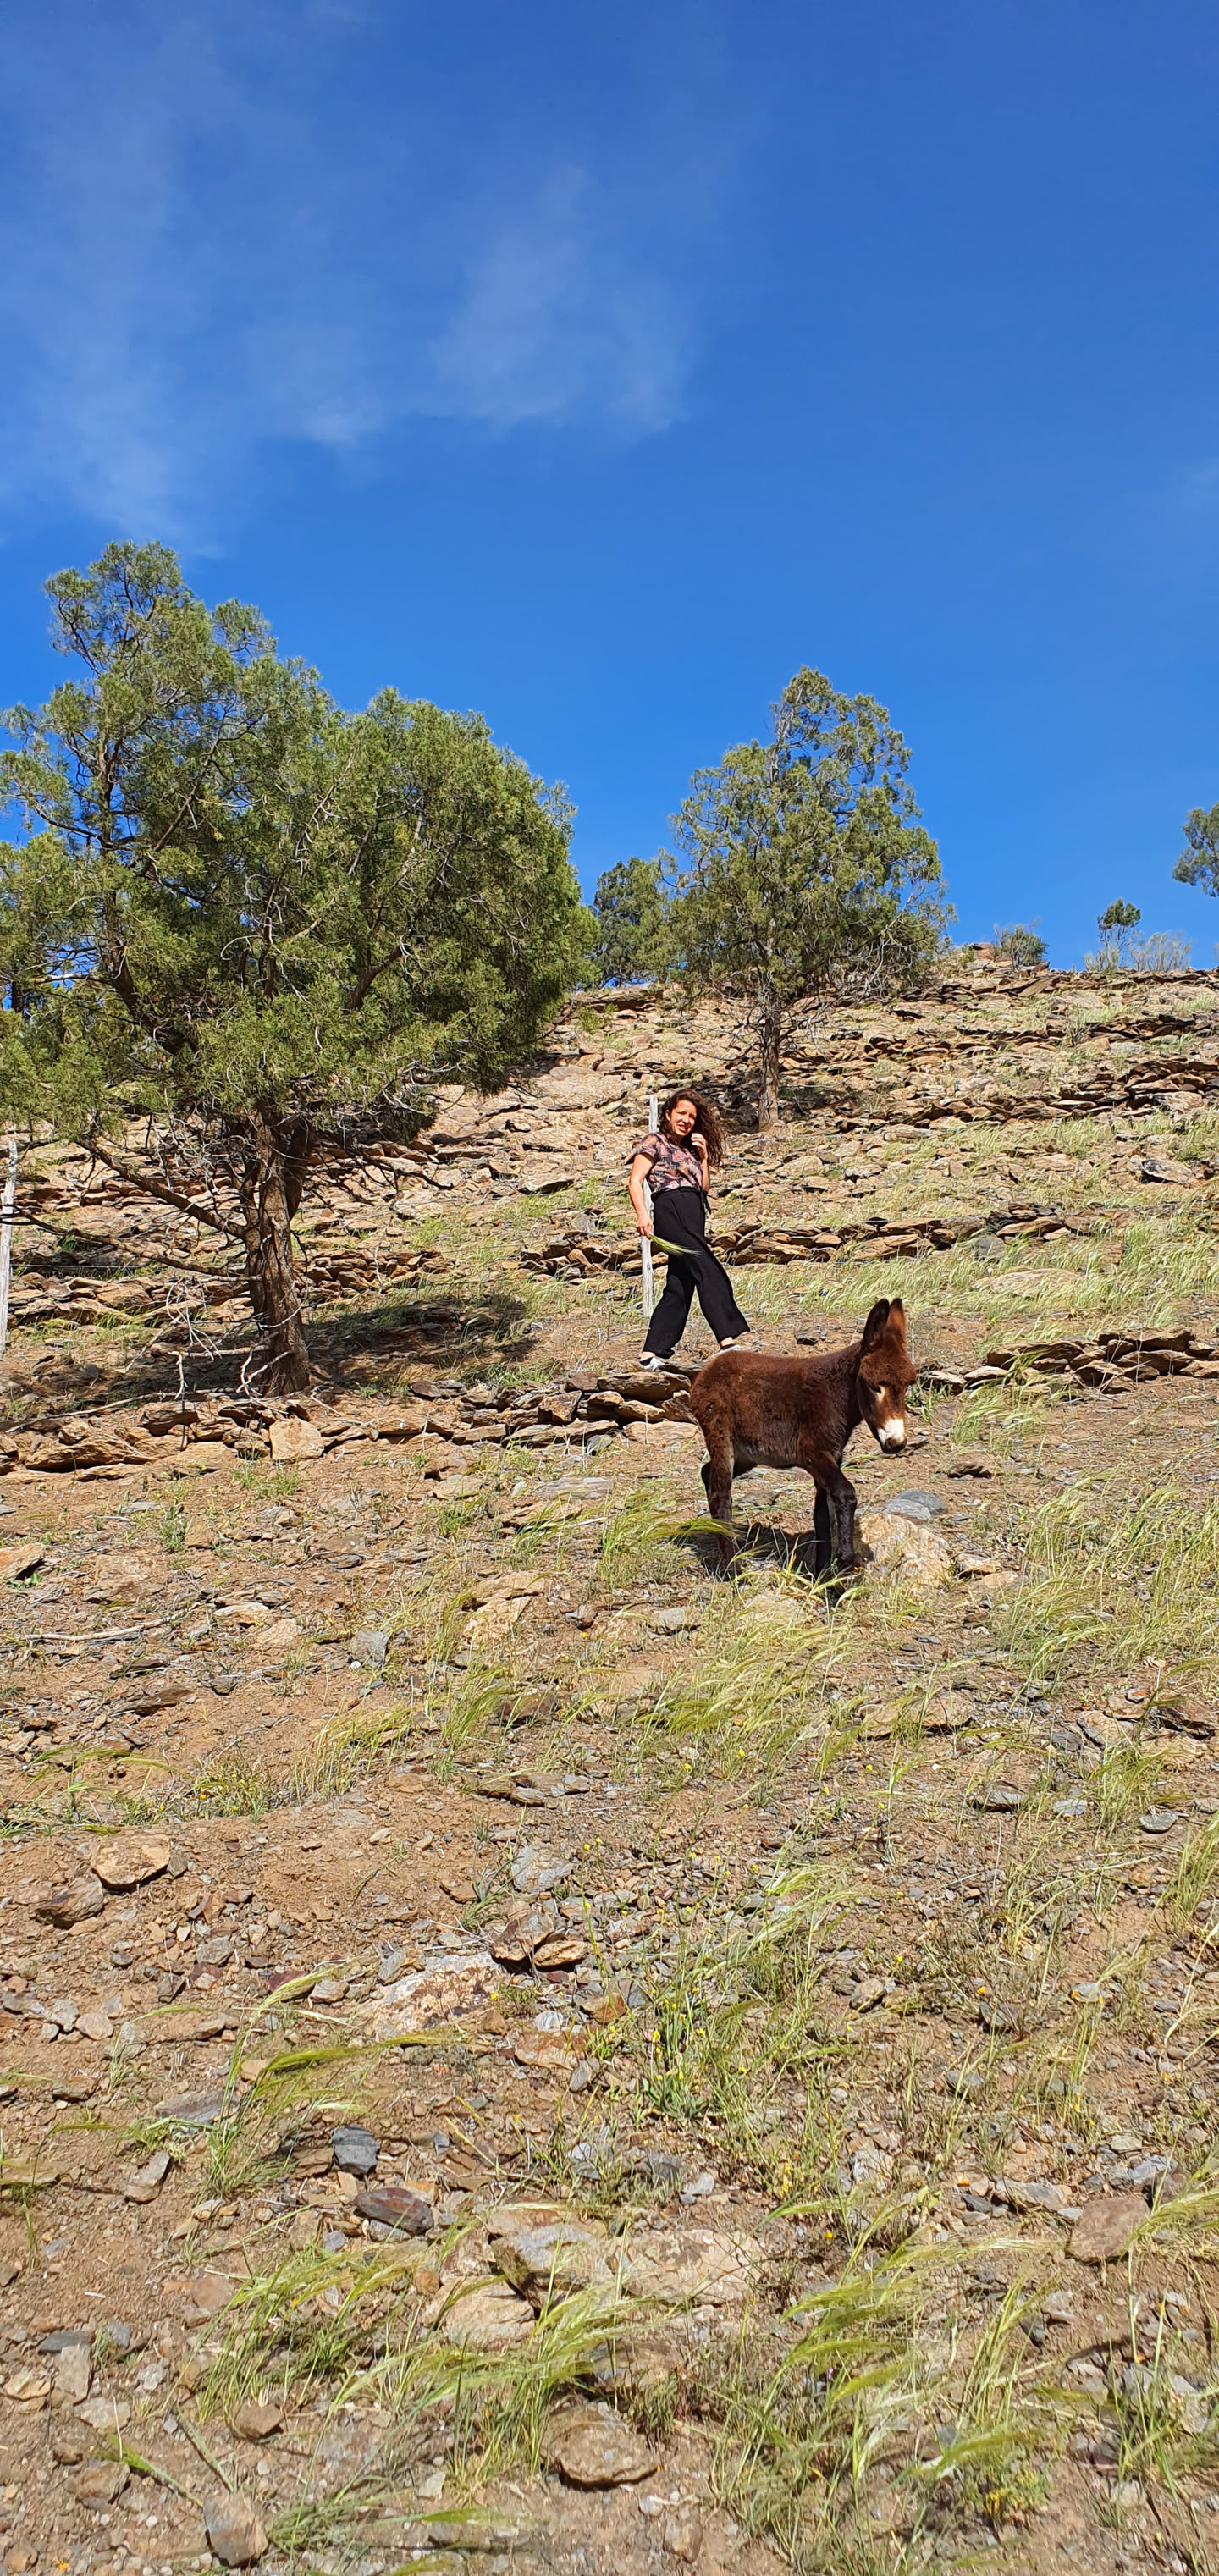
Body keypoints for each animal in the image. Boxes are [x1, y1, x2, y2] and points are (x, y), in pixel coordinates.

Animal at [688, 1298, 917, 1575]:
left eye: (907, 1386)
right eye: (874, 1387)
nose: (897, 1443)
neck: (836, 1394)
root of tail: (708, 1371)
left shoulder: (832, 1458)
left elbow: (822, 1513)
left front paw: (822, 1573)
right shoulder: (814, 1454)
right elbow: (846, 1493)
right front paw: (845, 1556)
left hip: (746, 1454)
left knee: (707, 1474)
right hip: (721, 1435)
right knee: (721, 1494)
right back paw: (733, 1568)